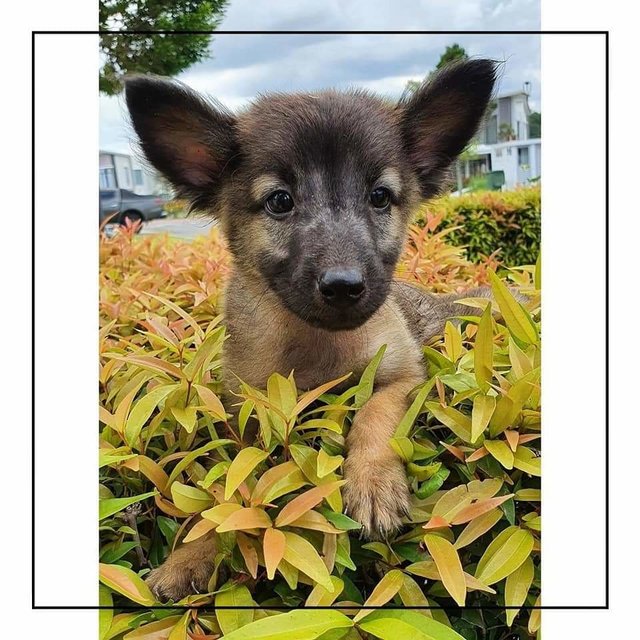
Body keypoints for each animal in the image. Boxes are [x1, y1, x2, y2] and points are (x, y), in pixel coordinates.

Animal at [124, 60, 496, 600]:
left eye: (380, 197)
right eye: (280, 201)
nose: (344, 286)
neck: (316, 341)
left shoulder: (405, 374)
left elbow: (375, 415)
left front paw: (374, 484)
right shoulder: (247, 418)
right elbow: (229, 489)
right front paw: (192, 554)